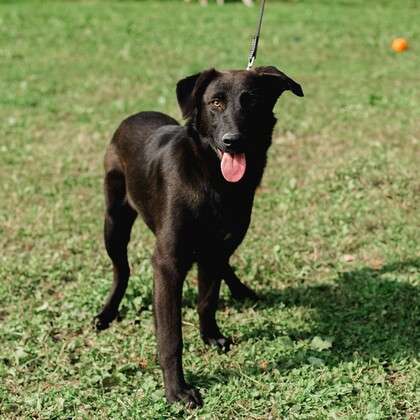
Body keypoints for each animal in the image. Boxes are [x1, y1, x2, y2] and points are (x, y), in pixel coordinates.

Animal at [94, 66, 302, 406]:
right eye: (215, 103)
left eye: (252, 101)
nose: (233, 142)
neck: (212, 179)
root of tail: (135, 115)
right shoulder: (167, 264)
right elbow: (171, 337)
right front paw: (177, 390)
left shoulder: (217, 248)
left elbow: (207, 299)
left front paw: (211, 336)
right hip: (114, 222)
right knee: (121, 270)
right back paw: (107, 313)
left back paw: (241, 289)